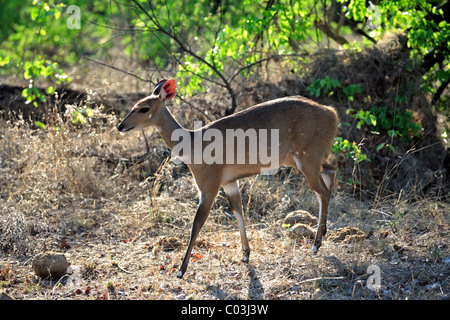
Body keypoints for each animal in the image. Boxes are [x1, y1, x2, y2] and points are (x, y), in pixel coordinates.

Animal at [118, 79, 340, 278]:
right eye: (134, 105)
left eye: (144, 108)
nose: (120, 126)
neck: (192, 143)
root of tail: (331, 113)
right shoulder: (229, 182)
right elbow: (238, 211)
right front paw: (246, 255)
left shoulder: (209, 186)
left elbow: (197, 223)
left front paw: (181, 271)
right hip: (300, 160)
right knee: (330, 171)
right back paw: (323, 234)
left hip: (307, 159)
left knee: (321, 191)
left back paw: (316, 244)